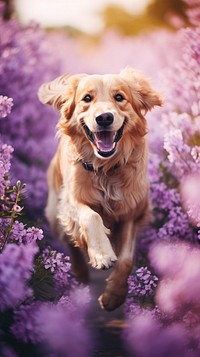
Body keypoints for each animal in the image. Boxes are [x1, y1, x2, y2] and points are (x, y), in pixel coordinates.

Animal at [38, 67, 162, 308]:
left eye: (120, 97)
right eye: (87, 98)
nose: (104, 117)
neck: (105, 168)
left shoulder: (130, 213)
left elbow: (126, 260)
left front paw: (113, 296)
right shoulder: (72, 200)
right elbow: (91, 216)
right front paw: (101, 254)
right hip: (55, 212)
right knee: (72, 243)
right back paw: (80, 275)